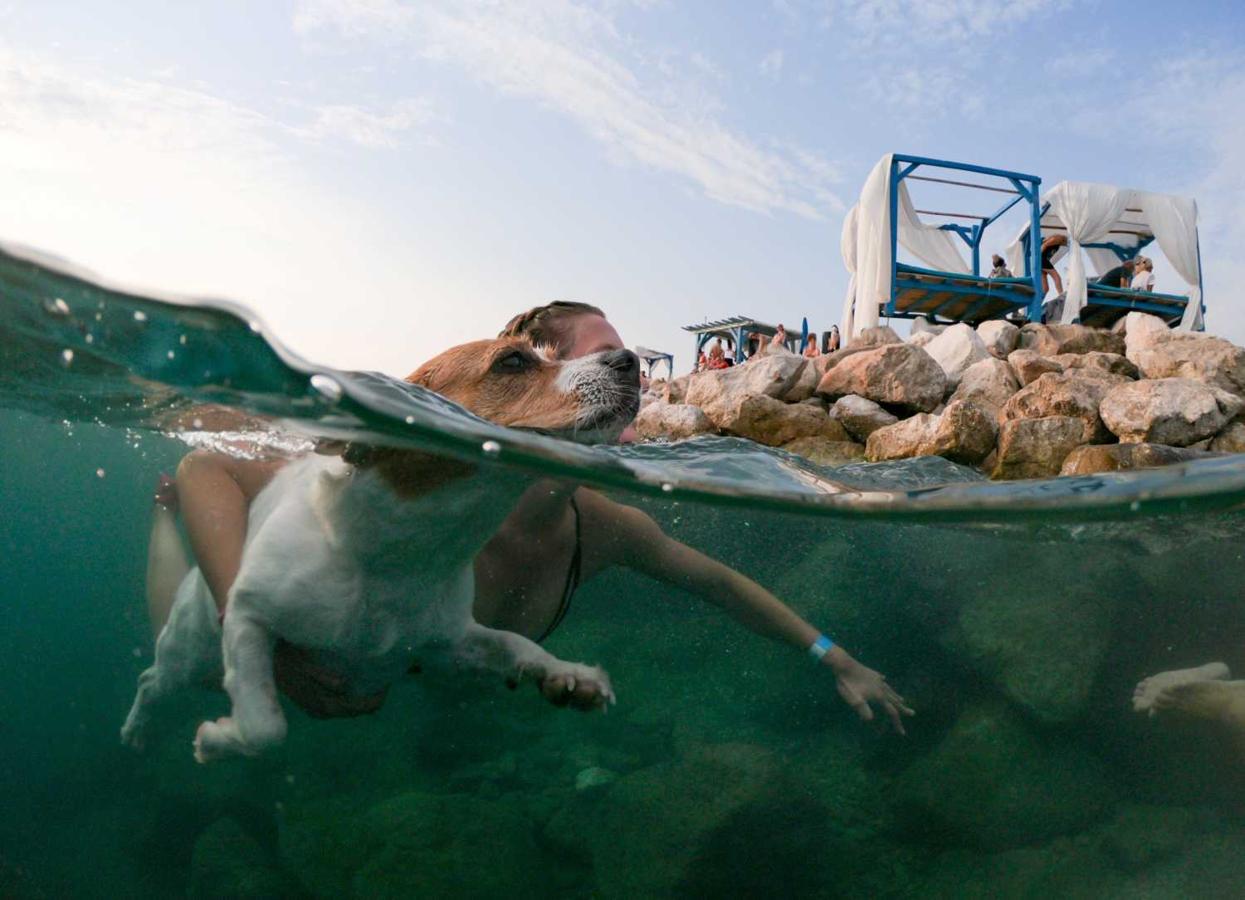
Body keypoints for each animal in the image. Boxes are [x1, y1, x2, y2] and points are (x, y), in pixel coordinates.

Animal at [120, 338, 642, 761]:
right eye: (512, 361)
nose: (631, 360)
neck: (402, 554)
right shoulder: (249, 617)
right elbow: (265, 727)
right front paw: (215, 740)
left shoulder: (450, 642)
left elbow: (514, 643)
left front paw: (567, 672)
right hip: (189, 651)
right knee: (151, 681)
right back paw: (137, 730)